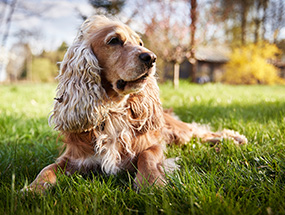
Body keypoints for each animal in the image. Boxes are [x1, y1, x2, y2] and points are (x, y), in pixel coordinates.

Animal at [24, 15, 246, 193]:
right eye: (114, 40)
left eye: (140, 42)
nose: (152, 57)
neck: (113, 110)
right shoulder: (74, 158)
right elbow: (47, 169)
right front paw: (33, 189)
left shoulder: (154, 144)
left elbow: (146, 157)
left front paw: (152, 183)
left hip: (178, 131)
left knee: (201, 132)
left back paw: (233, 138)